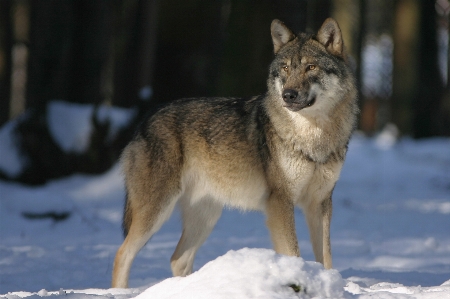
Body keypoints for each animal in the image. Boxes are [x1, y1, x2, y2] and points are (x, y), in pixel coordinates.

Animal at [111, 18, 358, 288]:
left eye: (311, 67)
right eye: (285, 68)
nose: (288, 95)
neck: (313, 137)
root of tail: (145, 120)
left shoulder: (320, 203)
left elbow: (326, 257)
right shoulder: (280, 202)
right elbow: (293, 252)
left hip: (206, 217)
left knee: (178, 259)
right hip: (157, 211)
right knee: (122, 253)